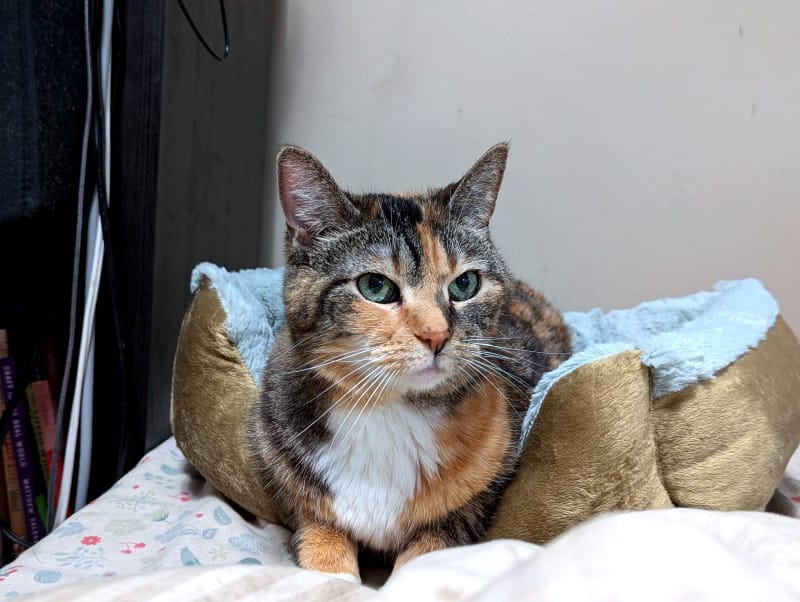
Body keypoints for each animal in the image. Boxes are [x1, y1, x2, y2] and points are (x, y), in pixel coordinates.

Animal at [250, 142, 568, 580]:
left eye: (465, 284)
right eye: (375, 286)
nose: (436, 334)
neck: (388, 412)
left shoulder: (468, 509)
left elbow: (423, 561)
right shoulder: (302, 498)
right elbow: (322, 552)